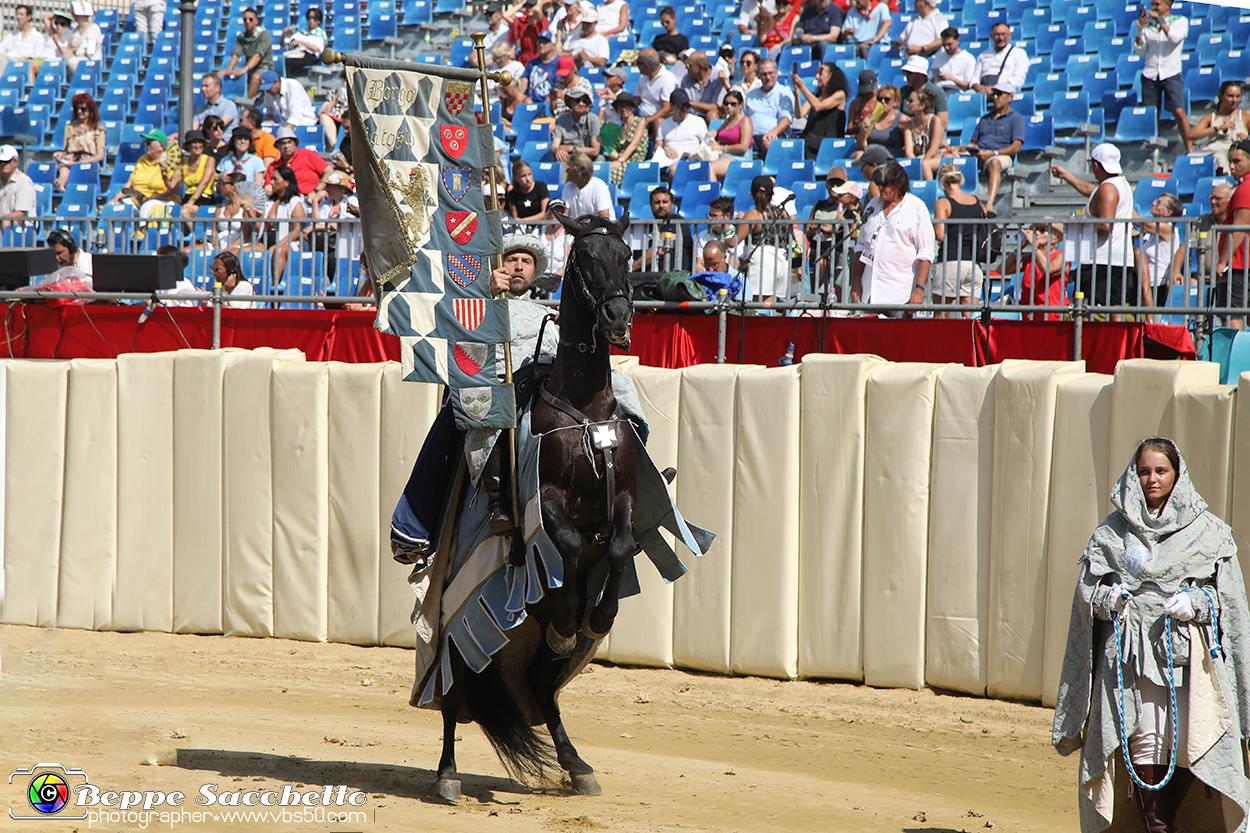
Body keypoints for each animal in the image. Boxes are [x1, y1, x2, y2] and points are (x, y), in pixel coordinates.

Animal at [437, 212, 635, 800]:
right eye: (585, 257)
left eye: (626, 255)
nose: (617, 315)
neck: (584, 406)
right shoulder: (546, 502)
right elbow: (565, 540)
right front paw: (574, 620)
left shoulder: (624, 497)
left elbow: (620, 546)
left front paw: (598, 618)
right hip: (462, 637)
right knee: (453, 697)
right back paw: (447, 775)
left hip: (530, 649)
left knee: (541, 688)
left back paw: (577, 764)